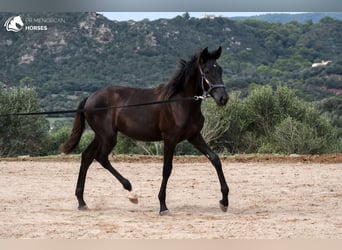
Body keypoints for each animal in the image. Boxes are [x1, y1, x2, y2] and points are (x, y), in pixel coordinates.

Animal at [61, 47, 230, 215]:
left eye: (220, 70)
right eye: (207, 71)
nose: (223, 98)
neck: (180, 103)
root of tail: (89, 98)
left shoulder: (194, 136)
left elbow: (215, 159)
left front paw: (224, 202)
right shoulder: (170, 139)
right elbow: (167, 169)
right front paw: (163, 206)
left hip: (101, 136)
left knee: (87, 157)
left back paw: (82, 202)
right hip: (108, 137)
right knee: (101, 158)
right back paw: (130, 190)